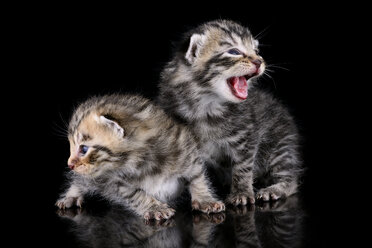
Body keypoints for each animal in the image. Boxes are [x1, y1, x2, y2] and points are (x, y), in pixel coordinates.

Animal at [55, 94, 224, 219]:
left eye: (83, 149)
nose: (69, 164)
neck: (143, 162)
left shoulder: (186, 150)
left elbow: (197, 177)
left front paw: (205, 200)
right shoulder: (116, 182)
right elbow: (136, 194)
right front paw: (154, 207)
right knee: (80, 181)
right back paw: (71, 197)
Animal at [157, 19, 302, 205]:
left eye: (256, 52)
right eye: (234, 52)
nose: (259, 61)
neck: (207, 104)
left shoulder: (246, 137)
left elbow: (243, 167)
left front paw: (241, 193)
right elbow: (194, 170)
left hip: (279, 144)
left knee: (291, 176)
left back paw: (275, 189)